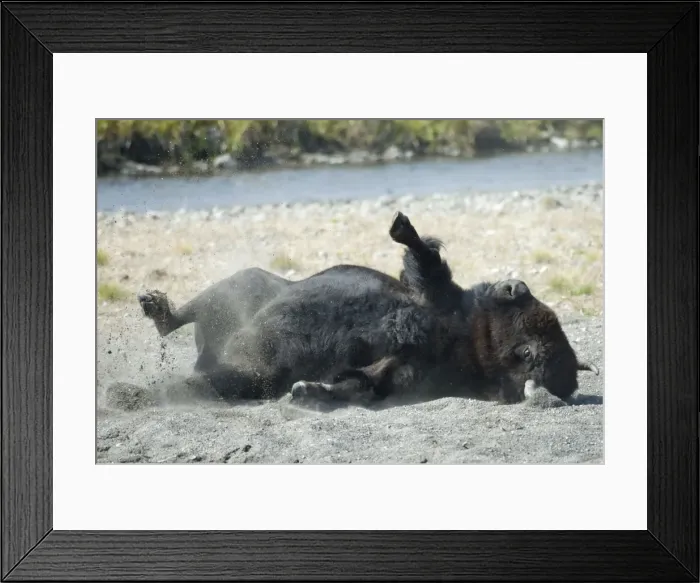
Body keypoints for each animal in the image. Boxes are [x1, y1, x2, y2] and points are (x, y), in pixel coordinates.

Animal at [137, 212, 598, 408]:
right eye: (532, 316)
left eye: (537, 349)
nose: (514, 285)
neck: (466, 339)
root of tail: (209, 357)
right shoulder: (431, 293)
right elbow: (425, 257)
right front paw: (401, 225)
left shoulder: (408, 370)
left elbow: (362, 383)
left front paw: (308, 391)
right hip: (246, 286)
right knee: (183, 317)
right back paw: (155, 306)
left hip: (249, 374)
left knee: (213, 378)